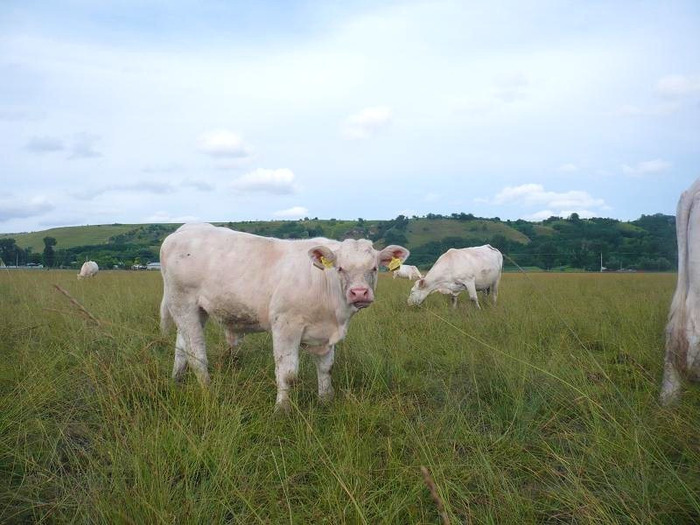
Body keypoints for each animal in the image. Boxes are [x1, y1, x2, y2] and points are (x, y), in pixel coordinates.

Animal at [159, 223, 410, 412]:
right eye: (340, 268)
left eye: (374, 268)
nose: (359, 293)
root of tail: (186, 228)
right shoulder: (286, 326)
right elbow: (287, 373)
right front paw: (282, 409)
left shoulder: (325, 335)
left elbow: (326, 368)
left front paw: (325, 400)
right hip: (183, 304)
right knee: (196, 354)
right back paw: (209, 392)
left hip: (195, 311)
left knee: (181, 347)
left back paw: (176, 381)